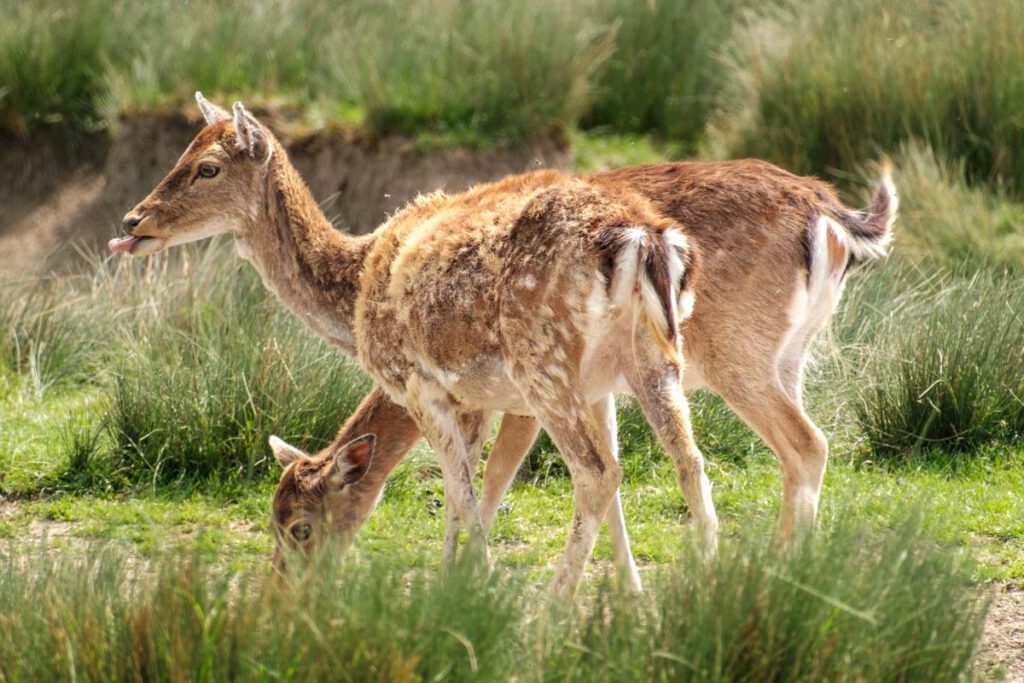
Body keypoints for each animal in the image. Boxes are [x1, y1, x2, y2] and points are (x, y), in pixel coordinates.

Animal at [114, 94, 897, 598]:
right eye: (184, 150)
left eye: (208, 167)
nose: (131, 220)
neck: (359, 281)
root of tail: (839, 217)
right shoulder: (573, 390)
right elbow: (507, 485)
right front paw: (630, 595)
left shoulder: (450, 389)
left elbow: (471, 489)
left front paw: (465, 590)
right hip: (703, 361)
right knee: (692, 459)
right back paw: (725, 583)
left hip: (689, 356)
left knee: (794, 446)